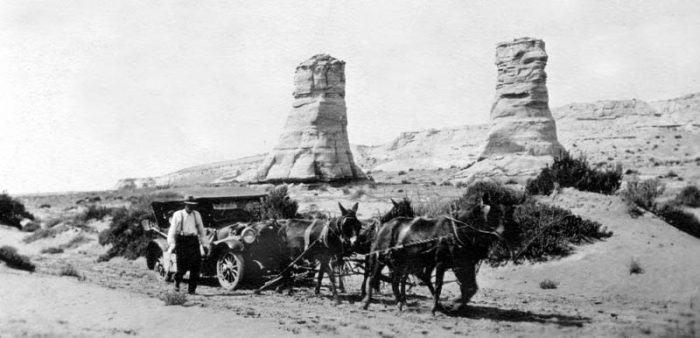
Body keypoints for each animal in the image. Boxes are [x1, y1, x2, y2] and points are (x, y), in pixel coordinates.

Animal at [364, 197, 506, 312]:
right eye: (494, 214)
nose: (502, 234)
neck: (455, 231)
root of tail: (385, 226)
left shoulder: (461, 265)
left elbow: (469, 287)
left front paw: (449, 305)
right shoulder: (440, 264)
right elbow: (438, 285)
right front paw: (435, 307)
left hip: (400, 262)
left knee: (394, 281)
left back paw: (400, 303)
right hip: (382, 258)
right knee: (373, 277)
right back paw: (367, 302)